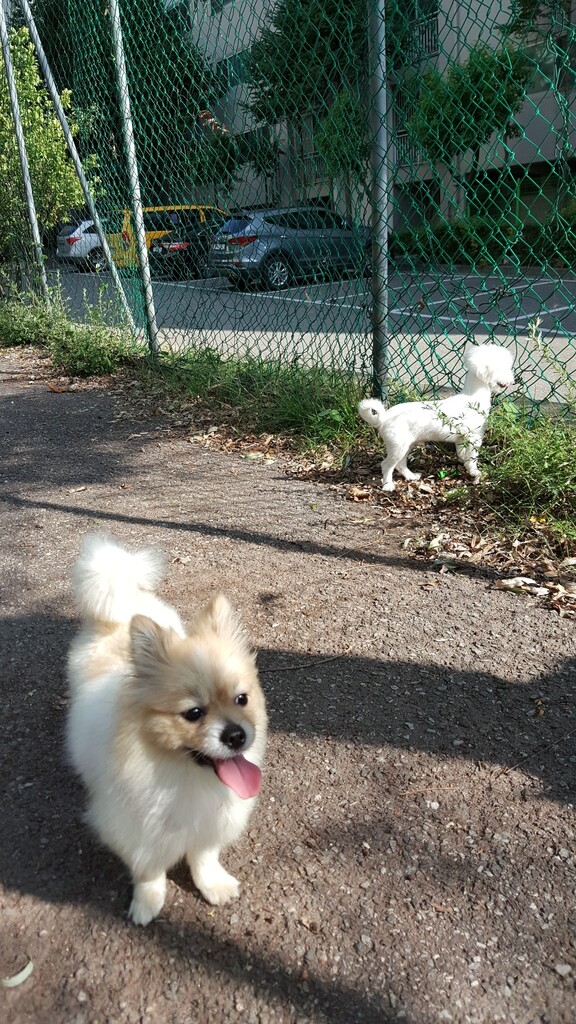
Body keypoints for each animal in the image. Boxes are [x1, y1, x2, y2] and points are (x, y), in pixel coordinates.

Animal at [65, 533, 267, 926]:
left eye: (241, 699)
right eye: (193, 713)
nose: (236, 735)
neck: (183, 774)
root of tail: (124, 604)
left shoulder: (208, 822)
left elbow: (203, 857)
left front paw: (212, 885)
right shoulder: (134, 831)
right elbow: (149, 870)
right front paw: (148, 902)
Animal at [358, 343, 515, 492]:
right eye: (502, 369)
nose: (512, 380)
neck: (473, 397)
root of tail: (384, 417)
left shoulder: (462, 438)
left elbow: (463, 456)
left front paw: (468, 468)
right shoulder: (474, 437)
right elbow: (472, 458)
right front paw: (475, 472)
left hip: (406, 445)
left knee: (400, 464)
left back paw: (411, 476)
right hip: (398, 446)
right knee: (386, 465)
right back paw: (388, 485)